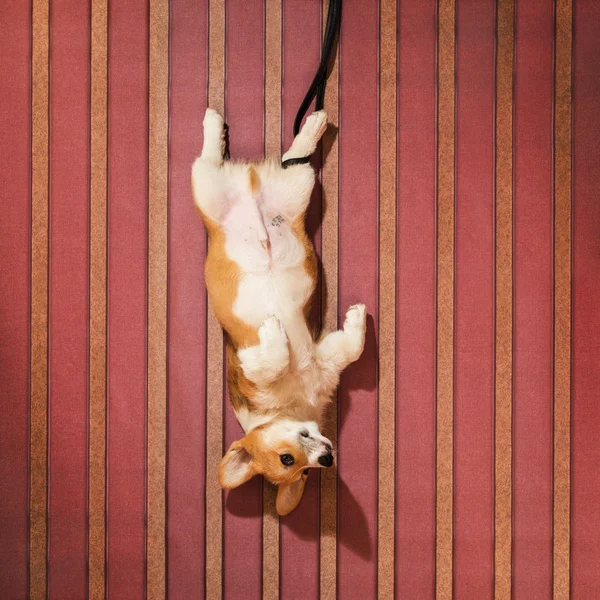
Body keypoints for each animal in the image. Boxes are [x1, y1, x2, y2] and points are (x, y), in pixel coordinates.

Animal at [192, 108, 368, 516]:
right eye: (293, 466)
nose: (327, 458)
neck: (290, 403)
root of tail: (251, 189)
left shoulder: (323, 361)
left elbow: (352, 346)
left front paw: (358, 315)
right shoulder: (281, 364)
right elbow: (279, 359)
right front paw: (274, 331)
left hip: (289, 187)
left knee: (285, 156)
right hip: (231, 188)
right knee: (212, 158)